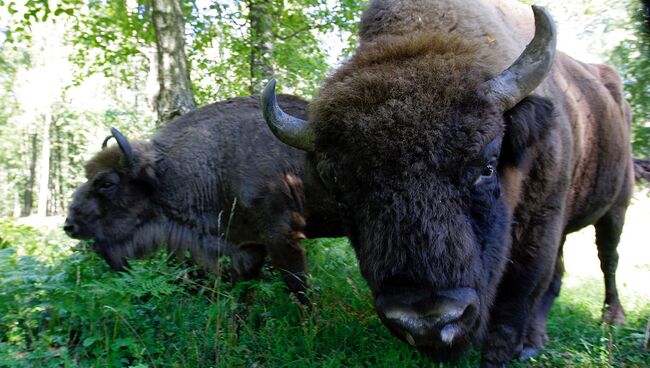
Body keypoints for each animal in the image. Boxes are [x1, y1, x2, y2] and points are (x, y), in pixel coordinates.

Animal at [63, 94, 342, 302]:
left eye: (107, 183)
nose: (70, 225)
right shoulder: (247, 246)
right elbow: (243, 294)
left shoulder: (283, 236)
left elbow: (299, 288)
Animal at [262, 0, 632, 366]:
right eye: (340, 187)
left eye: (487, 166)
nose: (427, 320)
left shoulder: (541, 227)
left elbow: (514, 306)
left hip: (617, 206)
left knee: (608, 258)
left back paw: (608, 319)